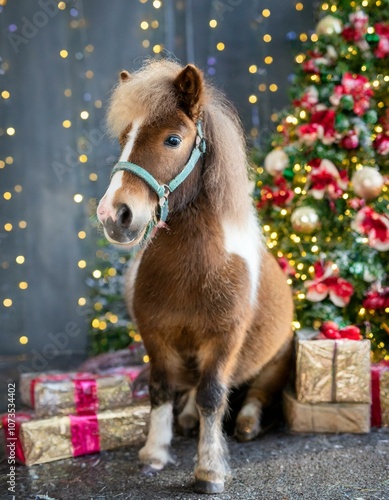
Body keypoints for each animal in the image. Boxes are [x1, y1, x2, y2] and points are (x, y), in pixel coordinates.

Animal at [96, 60, 292, 494]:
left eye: (173, 139)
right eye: (124, 138)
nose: (114, 215)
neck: (192, 272)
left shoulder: (224, 341)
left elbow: (212, 395)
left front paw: (210, 469)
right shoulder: (155, 337)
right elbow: (161, 389)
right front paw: (154, 452)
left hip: (278, 358)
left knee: (255, 393)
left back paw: (247, 423)